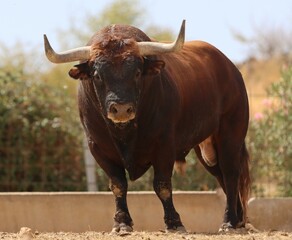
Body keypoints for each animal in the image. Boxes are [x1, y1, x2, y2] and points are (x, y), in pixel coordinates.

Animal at [44, 20, 251, 232]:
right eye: (97, 75)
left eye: (136, 72)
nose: (121, 108)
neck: (125, 133)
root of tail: (230, 67)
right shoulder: (98, 148)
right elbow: (118, 185)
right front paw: (122, 223)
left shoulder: (165, 146)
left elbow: (162, 185)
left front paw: (174, 223)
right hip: (206, 149)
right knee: (221, 176)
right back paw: (238, 220)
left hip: (230, 135)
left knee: (231, 174)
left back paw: (229, 222)